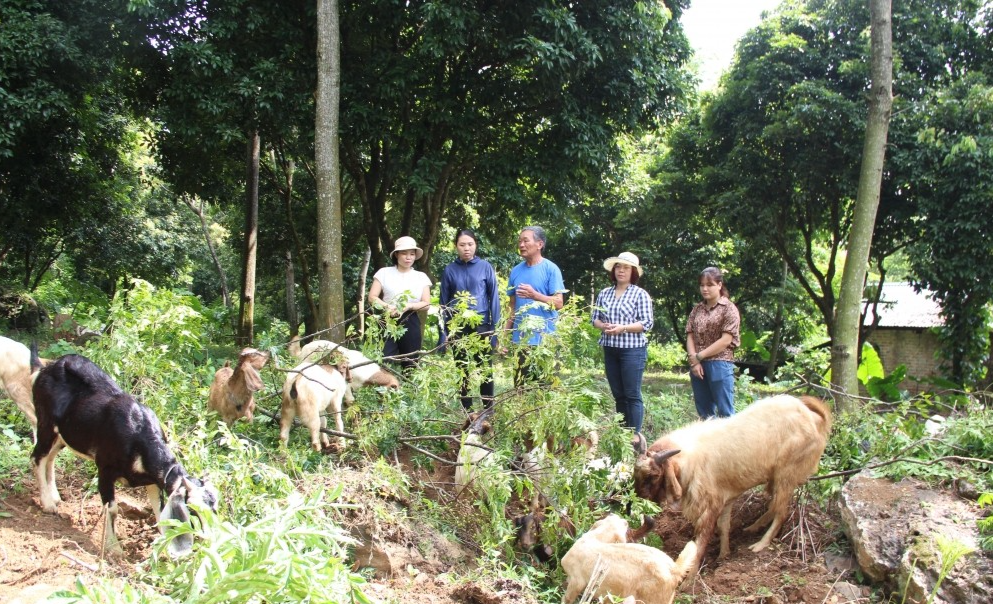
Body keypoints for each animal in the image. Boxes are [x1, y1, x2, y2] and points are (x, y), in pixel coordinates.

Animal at [31, 354, 217, 556]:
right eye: (193, 510)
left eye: (215, 507)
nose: (211, 539)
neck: (139, 437)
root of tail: (48, 367)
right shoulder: (104, 470)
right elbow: (112, 509)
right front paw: (115, 550)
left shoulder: (153, 481)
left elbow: (160, 512)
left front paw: (164, 552)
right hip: (45, 423)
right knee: (37, 457)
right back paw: (48, 504)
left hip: (62, 436)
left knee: (50, 458)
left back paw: (55, 497)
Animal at [636, 394, 828, 572]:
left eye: (654, 475)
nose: (638, 502)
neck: (691, 459)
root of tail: (813, 417)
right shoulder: (727, 498)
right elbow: (724, 527)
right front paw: (723, 555)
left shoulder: (710, 507)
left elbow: (700, 544)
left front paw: (691, 578)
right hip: (776, 478)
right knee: (774, 506)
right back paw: (753, 527)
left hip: (786, 474)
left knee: (781, 512)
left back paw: (760, 544)